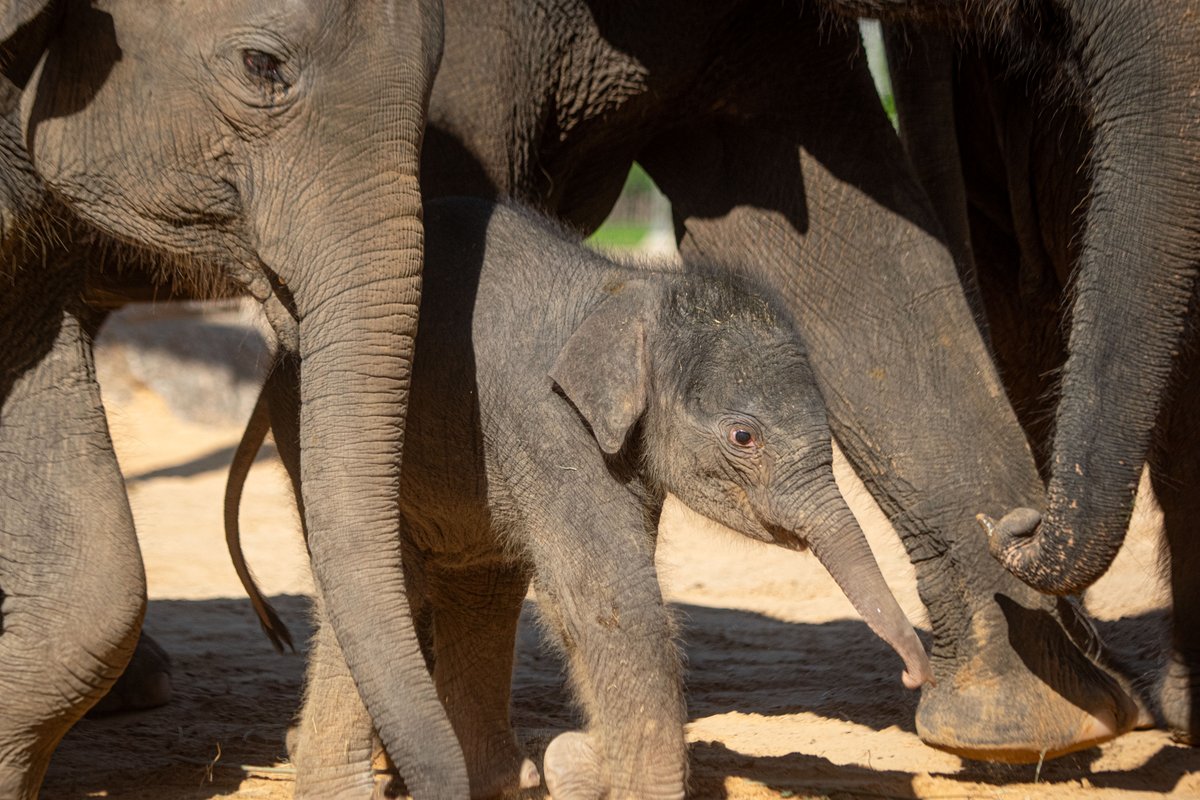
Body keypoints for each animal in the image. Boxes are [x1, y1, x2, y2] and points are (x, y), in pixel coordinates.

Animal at [226, 196, 933, 799]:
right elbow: (609, 597)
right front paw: (598, 772)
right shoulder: (548, 424)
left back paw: (507, 778)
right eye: (744, 436)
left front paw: (575, 765)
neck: (630, 292)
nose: (912, 674)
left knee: (476, 583)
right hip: (317, 423)